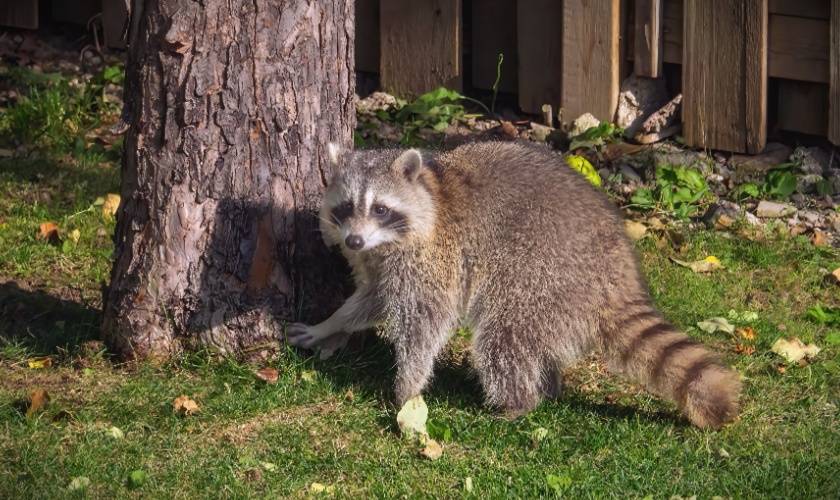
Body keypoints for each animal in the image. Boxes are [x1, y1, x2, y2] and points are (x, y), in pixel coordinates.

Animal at [286, 141, 741, 429]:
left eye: (380, 209)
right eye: (346, 207)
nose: (352, 241)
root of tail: (618, 275)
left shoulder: (433, 262)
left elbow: (425, 324)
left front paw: (407, 390)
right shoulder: (381, 261)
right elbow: (373, 300)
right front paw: (330, 324)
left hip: (545, 277)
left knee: (503, 340)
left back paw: (518, 403)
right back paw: (547, 387)